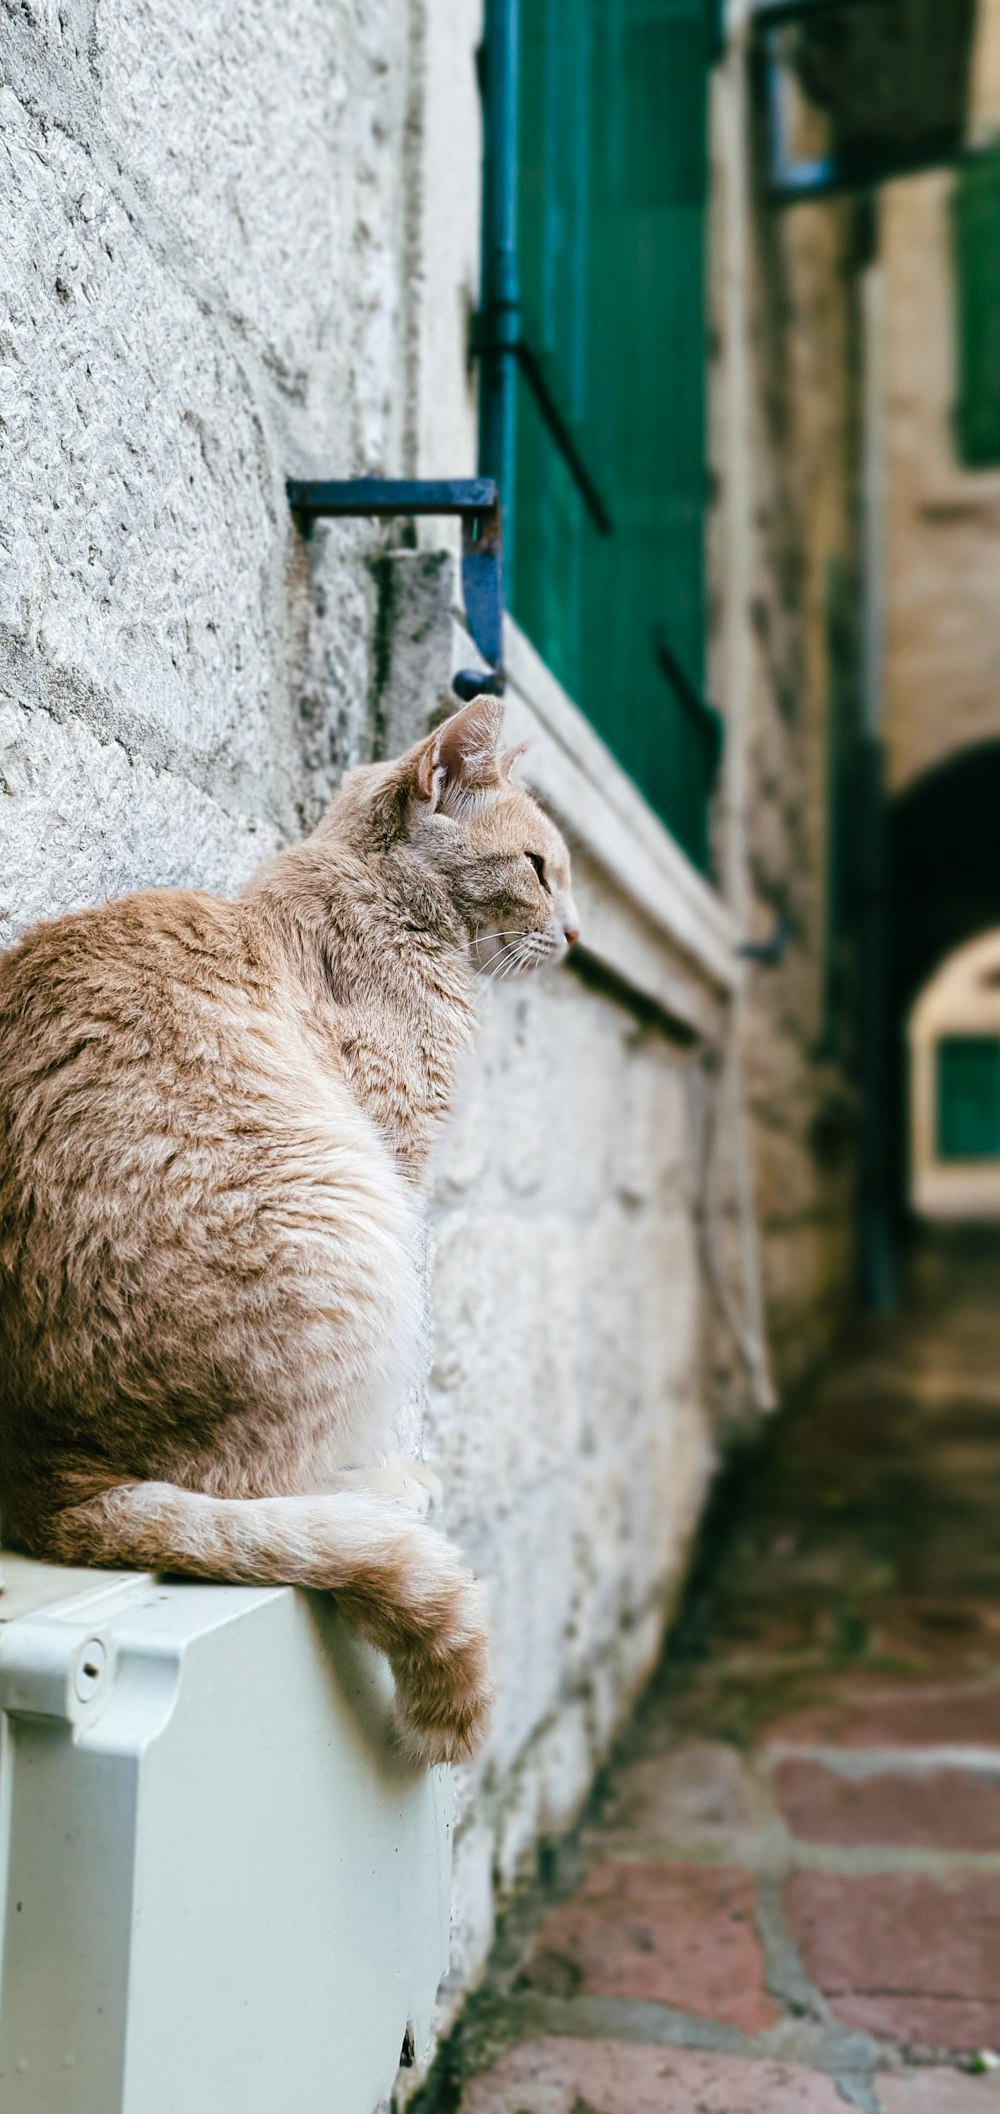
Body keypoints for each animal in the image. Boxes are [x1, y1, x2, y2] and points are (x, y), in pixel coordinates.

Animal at [0, 697, 575, 1767]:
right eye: (536, 867)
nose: (575, 929)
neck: (383, 897)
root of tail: (40, 1482)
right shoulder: (394, 1155)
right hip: (347, 1226)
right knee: (253, 1485)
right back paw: (378, 1488)